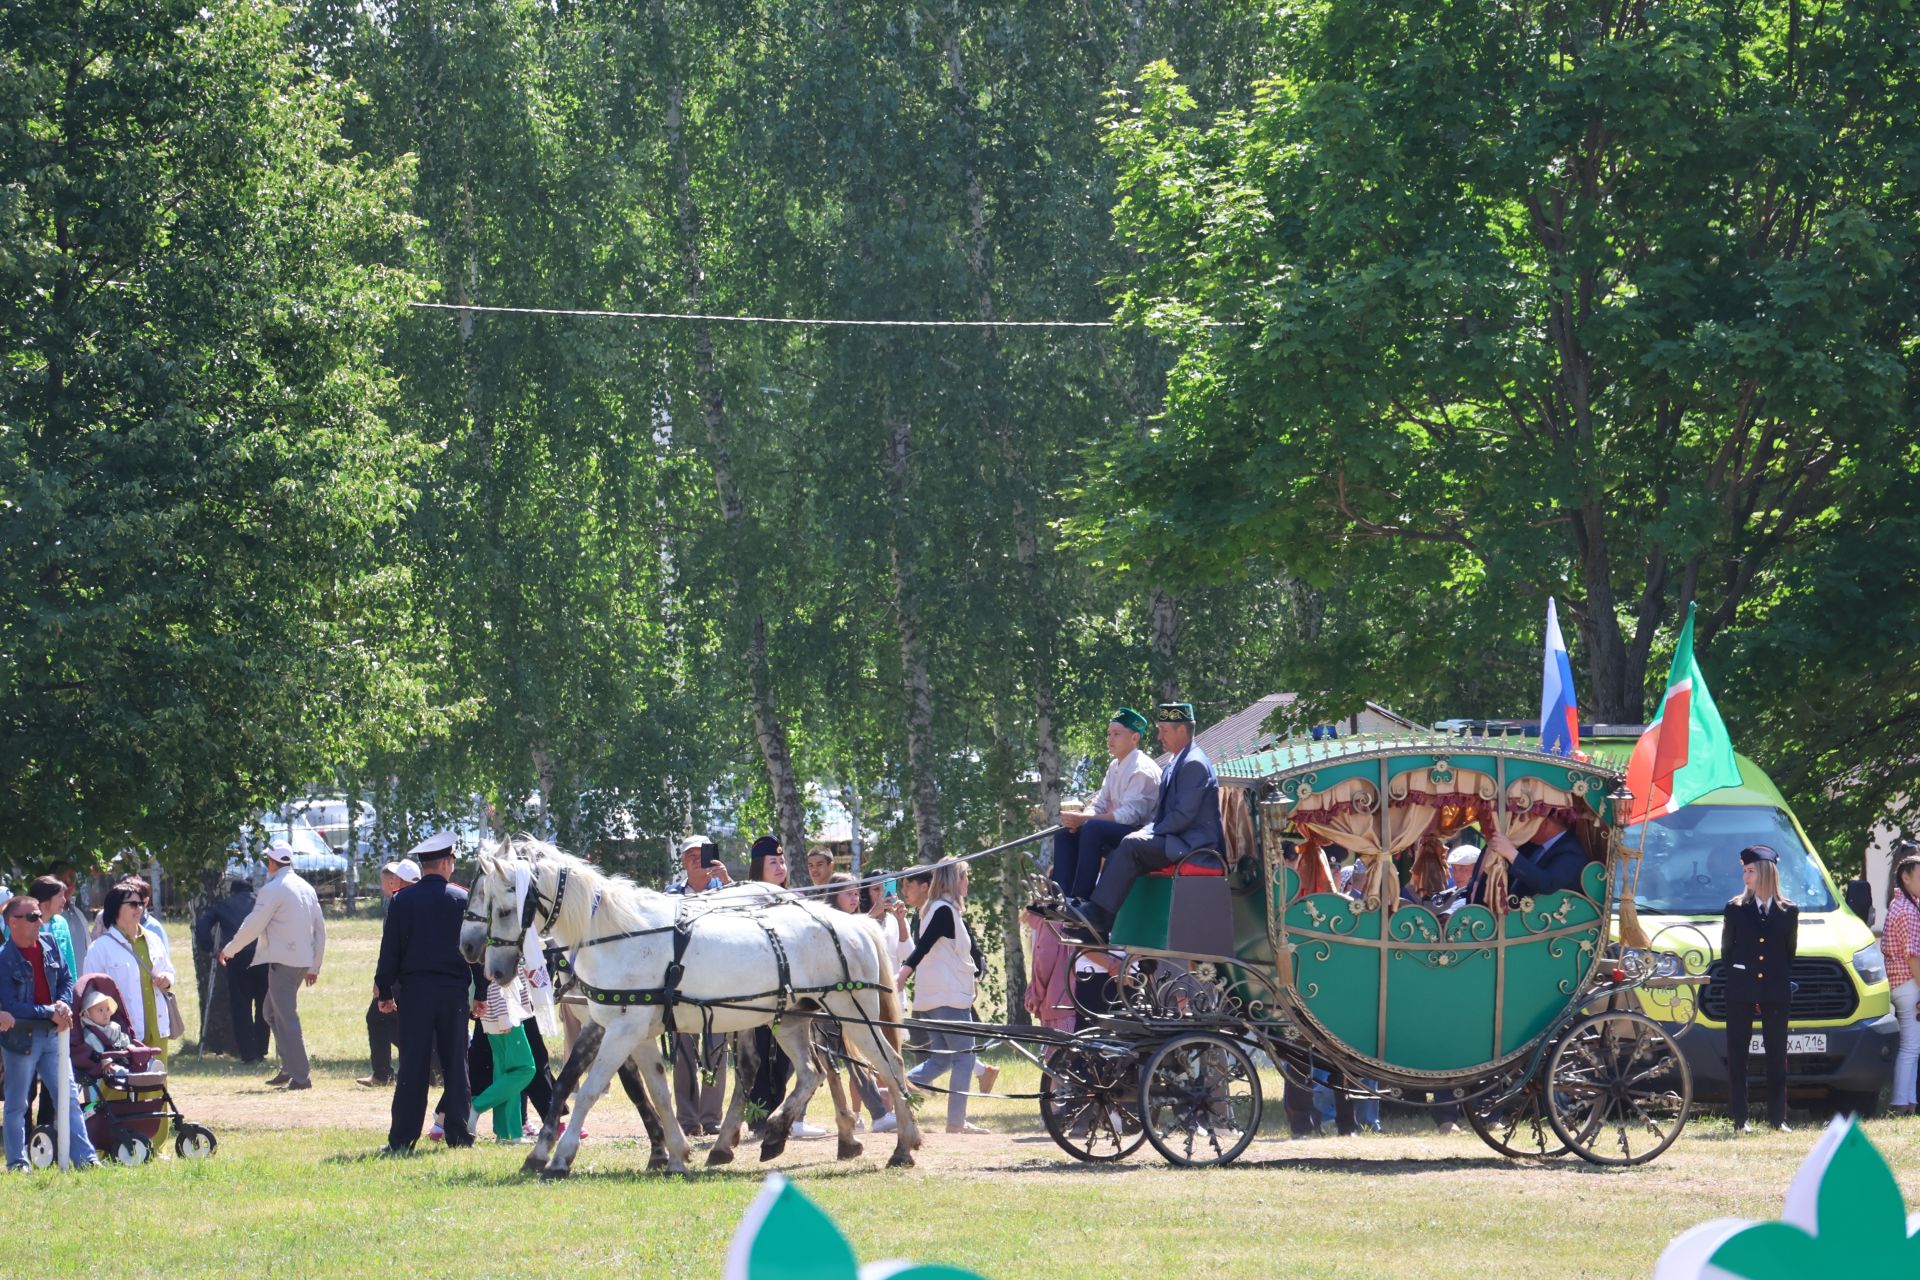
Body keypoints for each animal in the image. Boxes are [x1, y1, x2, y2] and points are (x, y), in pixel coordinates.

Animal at [456, 836, 921, 1174]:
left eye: (503, 908)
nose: (477, 957)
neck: (617, 936)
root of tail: (853, 923)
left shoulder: (622, 1031)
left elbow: (586, 1090)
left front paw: (559, 1158)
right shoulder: (633, 1032)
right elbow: (657, 1094)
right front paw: (675, 1155)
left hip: (853, 1014)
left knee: (889, 1066)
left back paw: (903, 1146)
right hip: (789, 1018)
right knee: (813, 1072)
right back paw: (770, 1138)